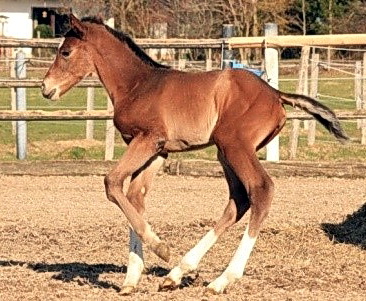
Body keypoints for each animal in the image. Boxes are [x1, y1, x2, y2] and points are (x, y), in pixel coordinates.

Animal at [41, 14, 348, 292]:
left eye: (65, 52)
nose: (45, 87)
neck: (137, 85)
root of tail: (275, 93)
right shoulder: (158, 151)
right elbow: (134, 196)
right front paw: (131, 279)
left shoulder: (148, 139)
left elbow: (112, 182)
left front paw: (161, 248)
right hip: (225, 152)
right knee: (238, 201)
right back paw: (178, 274)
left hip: (235, 146)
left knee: (261, 189)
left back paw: (221, 280)